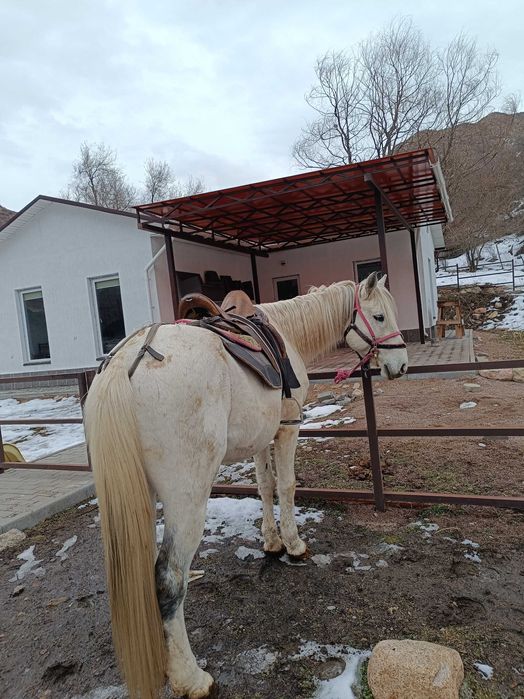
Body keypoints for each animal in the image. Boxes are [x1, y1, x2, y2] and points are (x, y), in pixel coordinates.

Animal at [83, 272, 408, 699]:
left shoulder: (260, 437)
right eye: (379, 316)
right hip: (187, 498)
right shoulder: (287, 428)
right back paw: (192, 678)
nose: (401, 365)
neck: (286, 332)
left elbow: (265, 486)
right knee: (168, 579)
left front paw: (271, 542)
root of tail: (126, 365)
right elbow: (286, 486)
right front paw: (294, 544)